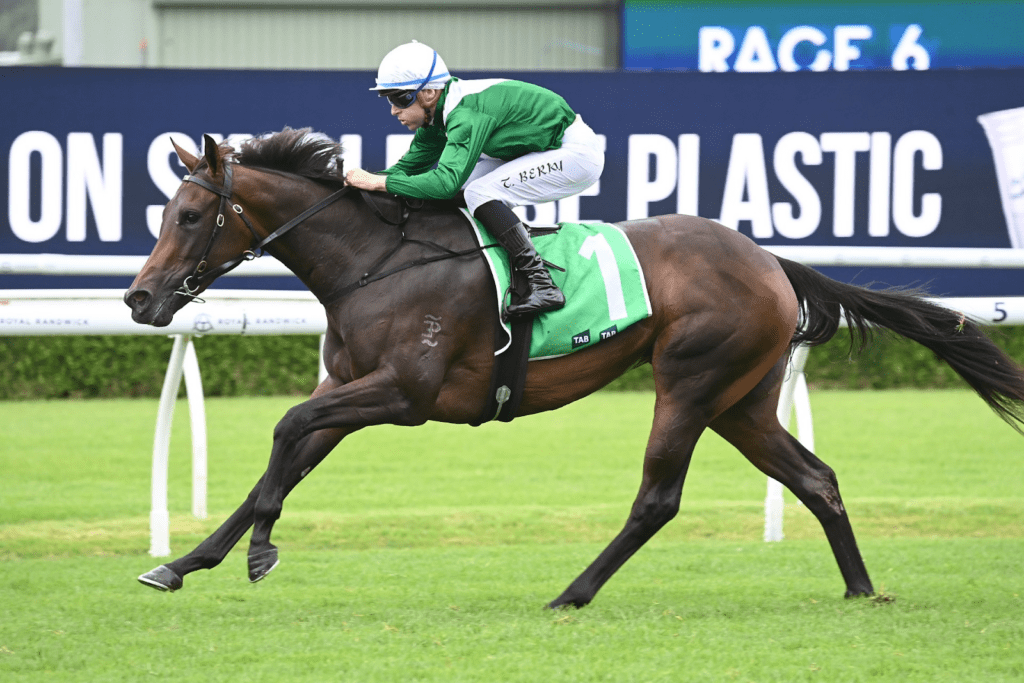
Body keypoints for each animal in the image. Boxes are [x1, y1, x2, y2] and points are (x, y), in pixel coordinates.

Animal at [125, 127, 1024, 610]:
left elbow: (285, 431)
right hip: (743, 400)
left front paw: (258, 551)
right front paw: (183, 562)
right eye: (168, 210)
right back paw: (862, 588)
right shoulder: (345, 387)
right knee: (816, 478)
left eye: (193, 214)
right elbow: (282, 456)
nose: (139, 298)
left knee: (658, 498)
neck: (375, 259)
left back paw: (571, 591)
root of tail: (770, 259)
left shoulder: (404, 393)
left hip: (691, 380)